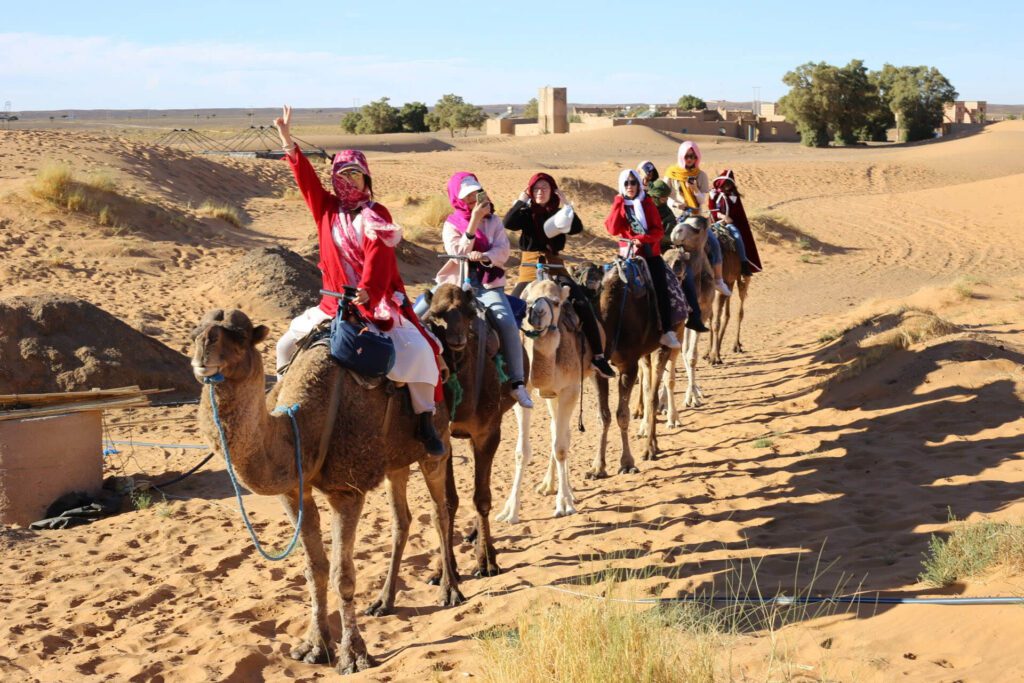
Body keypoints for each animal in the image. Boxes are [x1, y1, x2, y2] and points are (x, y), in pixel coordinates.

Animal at [192, 313, 464, 675]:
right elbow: (314, 569)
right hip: (394, 460)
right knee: (401, 520)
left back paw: (450, 590)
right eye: (194, 333)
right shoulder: (294, 492)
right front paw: (313, 646)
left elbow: (342, 575)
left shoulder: (346, 490)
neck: (301, 425)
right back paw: (383, 601)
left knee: (439, 509)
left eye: (239, 336)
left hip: (437, 442)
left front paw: (354, 656)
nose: (203, 345)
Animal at [419, 282, 524, 577]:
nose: (456, 339)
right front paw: (443, 570)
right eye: (435, 314)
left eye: (468, 314)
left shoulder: (488, 432)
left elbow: (482, 498)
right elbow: (449, 501)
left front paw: (486, 562)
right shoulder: (443, 439)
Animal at [495, 274, 593, 520]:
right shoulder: (525, 392)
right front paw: (510, 510)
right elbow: (522, 451)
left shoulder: (570, 389)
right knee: (556, 429)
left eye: (556, 302)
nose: (537, 313)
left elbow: (561, 447)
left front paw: (564, 504)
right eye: (527, 301)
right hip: (552, 395)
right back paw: (549, 485)